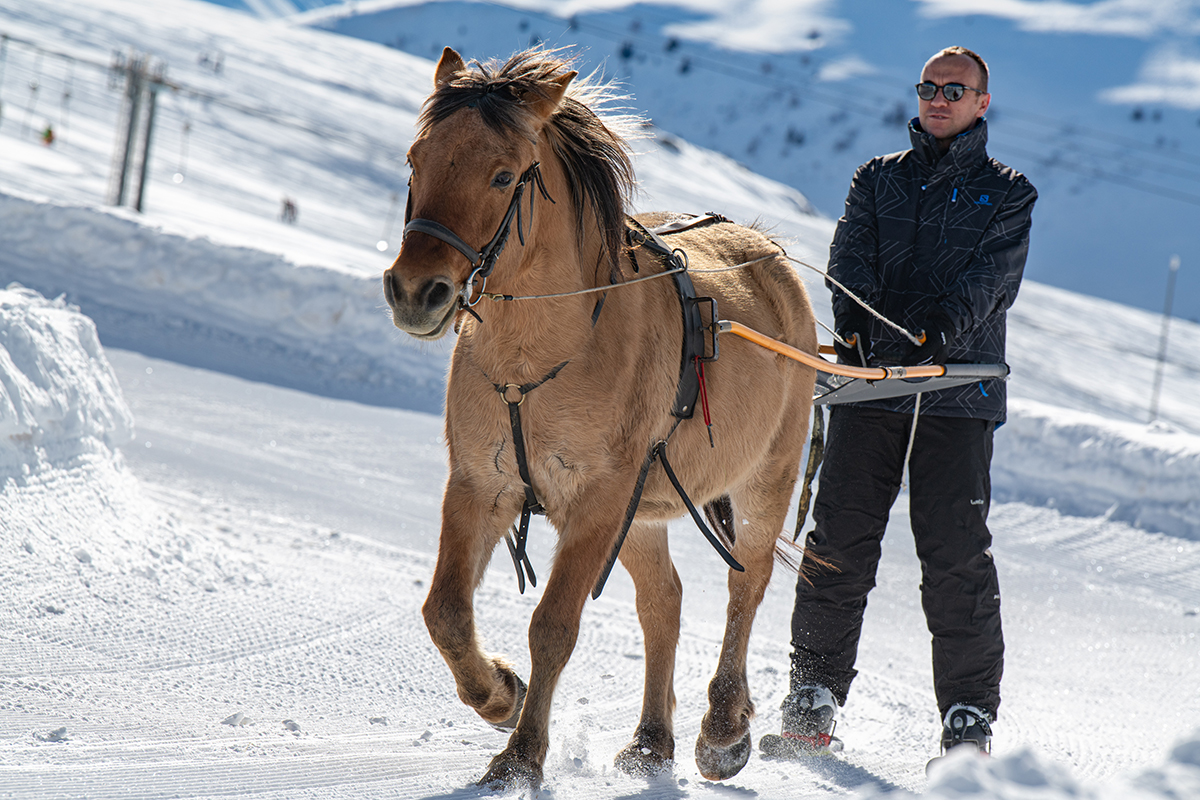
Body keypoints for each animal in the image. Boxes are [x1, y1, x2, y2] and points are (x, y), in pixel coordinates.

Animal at [381, 45, 816, 786]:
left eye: (503, 175)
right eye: (417, 161)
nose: (416, 292)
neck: (534, 362)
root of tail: (770, 257)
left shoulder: (596, 503)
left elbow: (553, 628)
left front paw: (521, 755)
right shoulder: (480, 486)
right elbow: (445, 611)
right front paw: (499, 694)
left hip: (763, 482)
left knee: (746, 585)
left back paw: (723, 730)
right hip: (641, 515)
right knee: (664, 602)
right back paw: (650, 742)